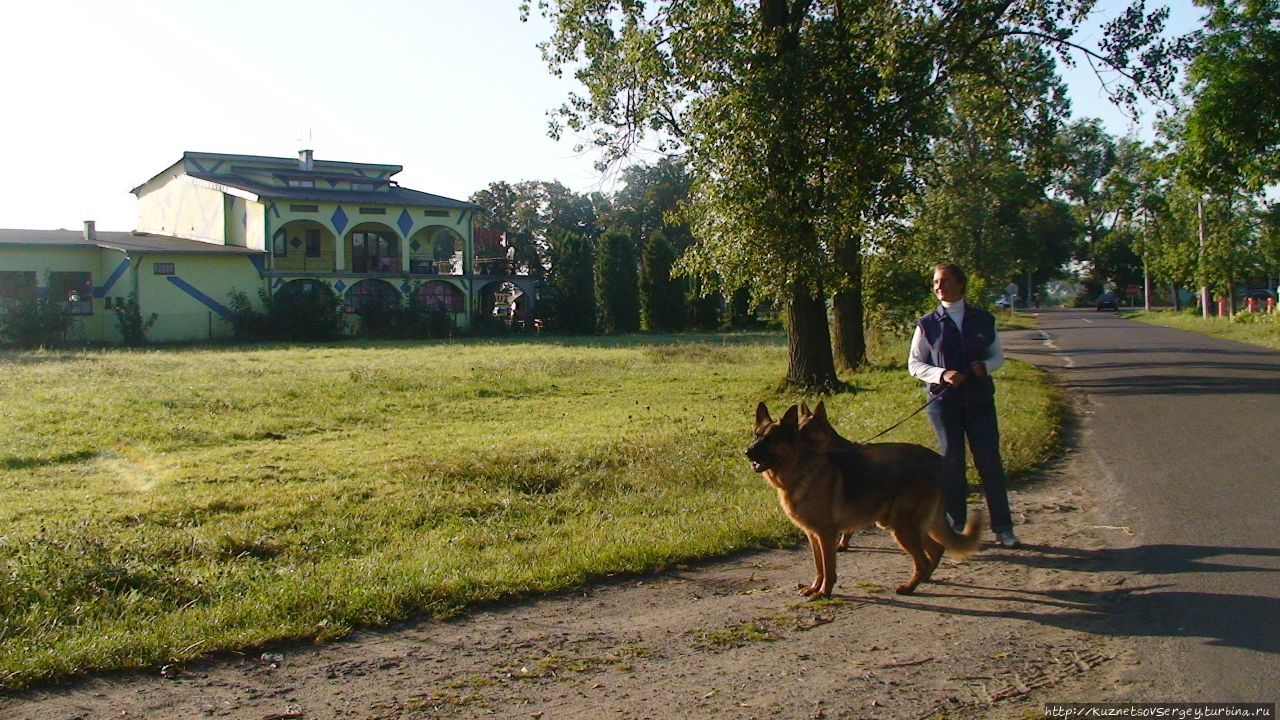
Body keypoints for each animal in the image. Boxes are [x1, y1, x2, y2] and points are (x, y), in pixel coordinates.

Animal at [742, 399, 977, 597]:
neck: (801, 470)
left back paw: (909, 587)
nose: (746, 452)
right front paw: (814, 588)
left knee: (923, 560)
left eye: (771, 439)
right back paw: (922, 580)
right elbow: (819, 566)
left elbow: (828, 567)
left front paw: (824, 592)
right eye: (756, 435)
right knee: (935, 550)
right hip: (907, 526)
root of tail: (935, 467)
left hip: (903, 528)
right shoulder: (812, 535)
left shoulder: (825, 534)